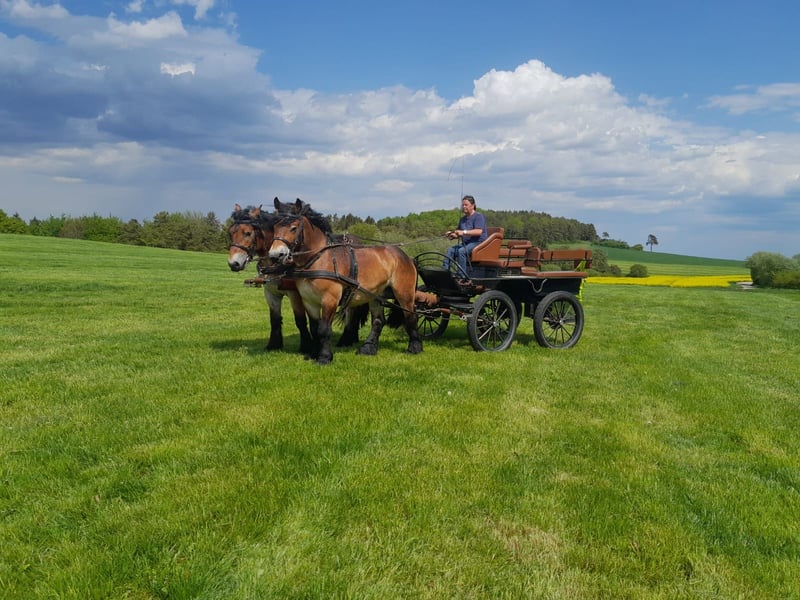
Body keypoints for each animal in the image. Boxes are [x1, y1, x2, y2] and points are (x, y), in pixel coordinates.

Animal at [227, 198, 366, 353]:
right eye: (230, 232)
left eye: (248, 233)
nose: (233, 264)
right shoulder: (271, 293)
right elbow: (274, 319)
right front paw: (273, 344)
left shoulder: (296, 294)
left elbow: (300, 320)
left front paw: (306, 346)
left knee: (352, 313)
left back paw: (346, 339)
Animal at [268, 199, 423, 365]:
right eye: (274, 227)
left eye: (293, 228)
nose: (275, 255)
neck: (320, 259)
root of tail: (406, 257)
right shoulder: (309, 301)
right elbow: (315, 328)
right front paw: (314, 353)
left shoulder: (330, 299)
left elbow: (324, 329)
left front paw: (324, 357)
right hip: (376, 295)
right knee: (378, 321)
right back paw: (368, 348)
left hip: (404, 293)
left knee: (411, 316)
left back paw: (415, 347)